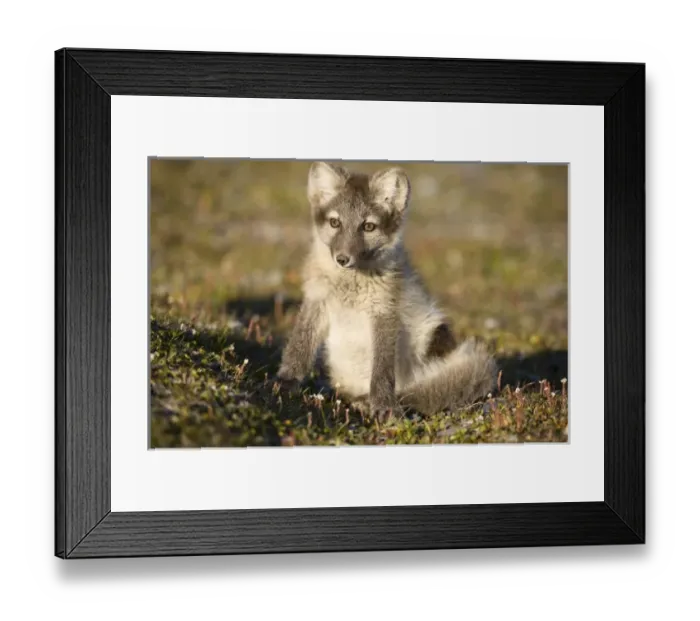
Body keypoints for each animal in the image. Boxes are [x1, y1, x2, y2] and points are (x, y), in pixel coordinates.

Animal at [277, 161, 497, 419]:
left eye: (368, 226)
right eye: (335, 223)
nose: (342, 258)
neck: (349, 286)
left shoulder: (384, 312)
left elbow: (382, 369)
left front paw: (383, 404)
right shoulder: (316, 300)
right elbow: (299, 347)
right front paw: (285, 382)